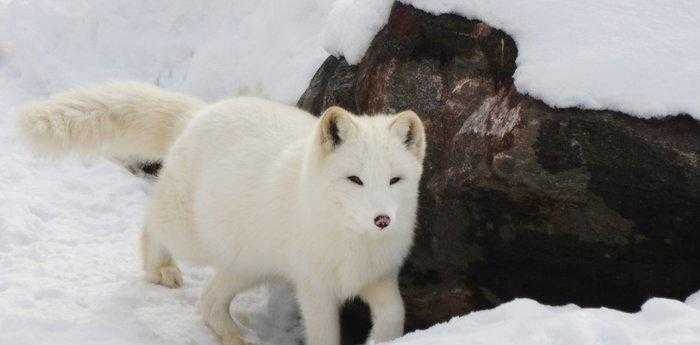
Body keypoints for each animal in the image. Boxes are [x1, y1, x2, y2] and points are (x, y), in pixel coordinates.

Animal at [19, 81, 426, 344]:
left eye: (394, 180)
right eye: (355, 179)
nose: (382, 220)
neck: (352, 241)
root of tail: (199, 113)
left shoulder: (379, 277)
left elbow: (394, 315)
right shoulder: (315, 288)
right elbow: (325, 335)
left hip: (249, 264)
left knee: (209, 302)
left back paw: (234, 337)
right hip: (193, 237)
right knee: (151, 224)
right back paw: (159, 268)